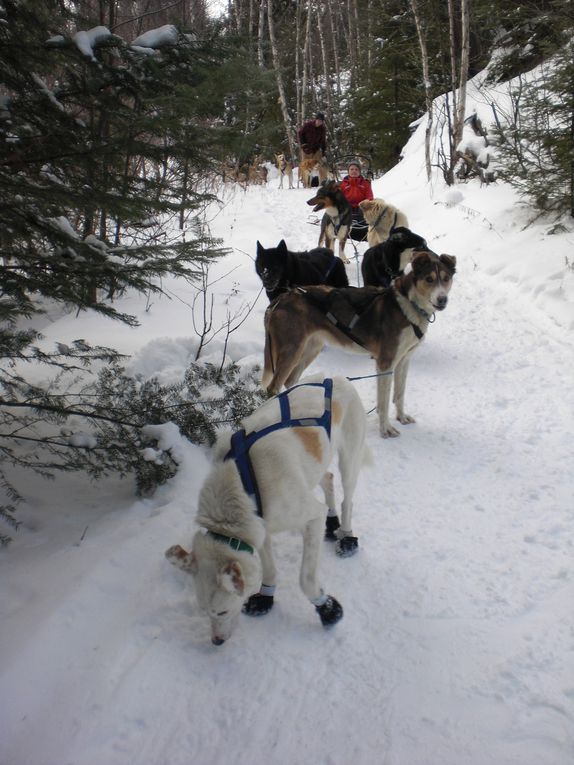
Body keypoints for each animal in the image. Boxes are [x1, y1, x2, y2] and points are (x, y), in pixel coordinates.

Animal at [163, 376, 368, 644]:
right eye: (204, 611)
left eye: (222, 611)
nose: (216, 641)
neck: (243, 482)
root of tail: (337, 378)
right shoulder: (261, 526)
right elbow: (269, 568)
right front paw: (265, 597)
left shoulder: (310, 516)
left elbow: (306, 579)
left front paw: (327, 609)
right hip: (314, 466)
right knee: (328, 479)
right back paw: (332, 523)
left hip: (349, 459)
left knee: (348, 499)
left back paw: (346, 535)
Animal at [264, 251, 460, 438]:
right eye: (429, 279)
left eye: (446, 278)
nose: (442, 299)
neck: (409, 305)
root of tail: (281, 299)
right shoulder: (386, 363)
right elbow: (384, 401)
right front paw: (385, 429)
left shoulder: (404, 361)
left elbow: (399, 394)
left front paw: (401, 418)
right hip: (292, 350)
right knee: (273, 387)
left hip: (311, 348)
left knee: (290, 381)